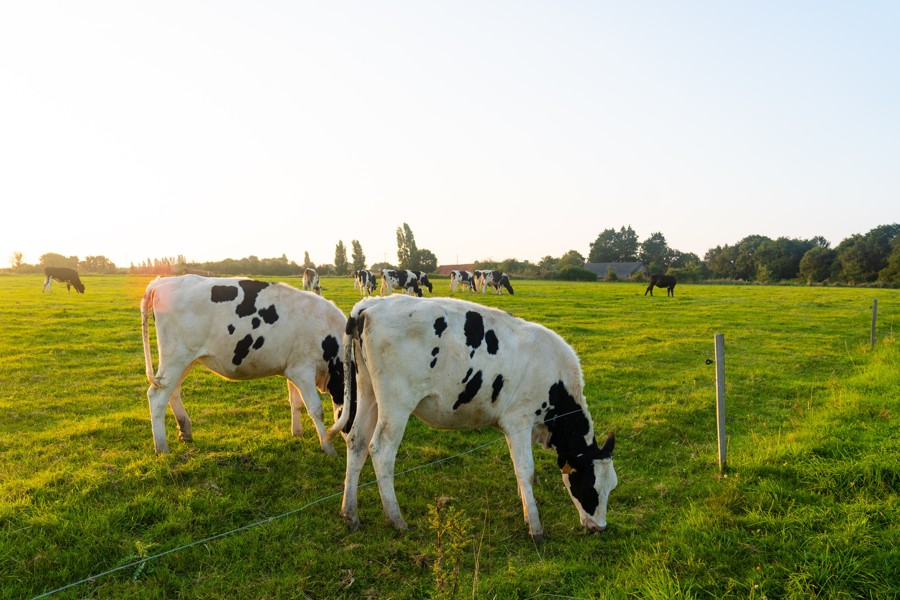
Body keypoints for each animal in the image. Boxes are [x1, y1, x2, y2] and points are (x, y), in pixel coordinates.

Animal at [142, 276, 346, 454]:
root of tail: (161, 281)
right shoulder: (303, 371)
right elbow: (316, 409)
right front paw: (328, 446)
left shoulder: (292, 369)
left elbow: (296, 403)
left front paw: (297, 433)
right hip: (176, 358)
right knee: (157, 396)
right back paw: (161, 448)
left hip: (185, 361)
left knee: (172, 391)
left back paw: (185, 431)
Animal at [330, 292, 620, 540]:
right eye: (589, 487)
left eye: (612, 487)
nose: (599, 527)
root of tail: (372, 304)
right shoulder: (519, 420)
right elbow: (526, 470)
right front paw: (535, 527)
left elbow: (518, 471)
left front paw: (526, 509)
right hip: (396, 402)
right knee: (381, 450)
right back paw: (396, 519)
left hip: (368, 391)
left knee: (357, 442)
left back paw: (350, 514)